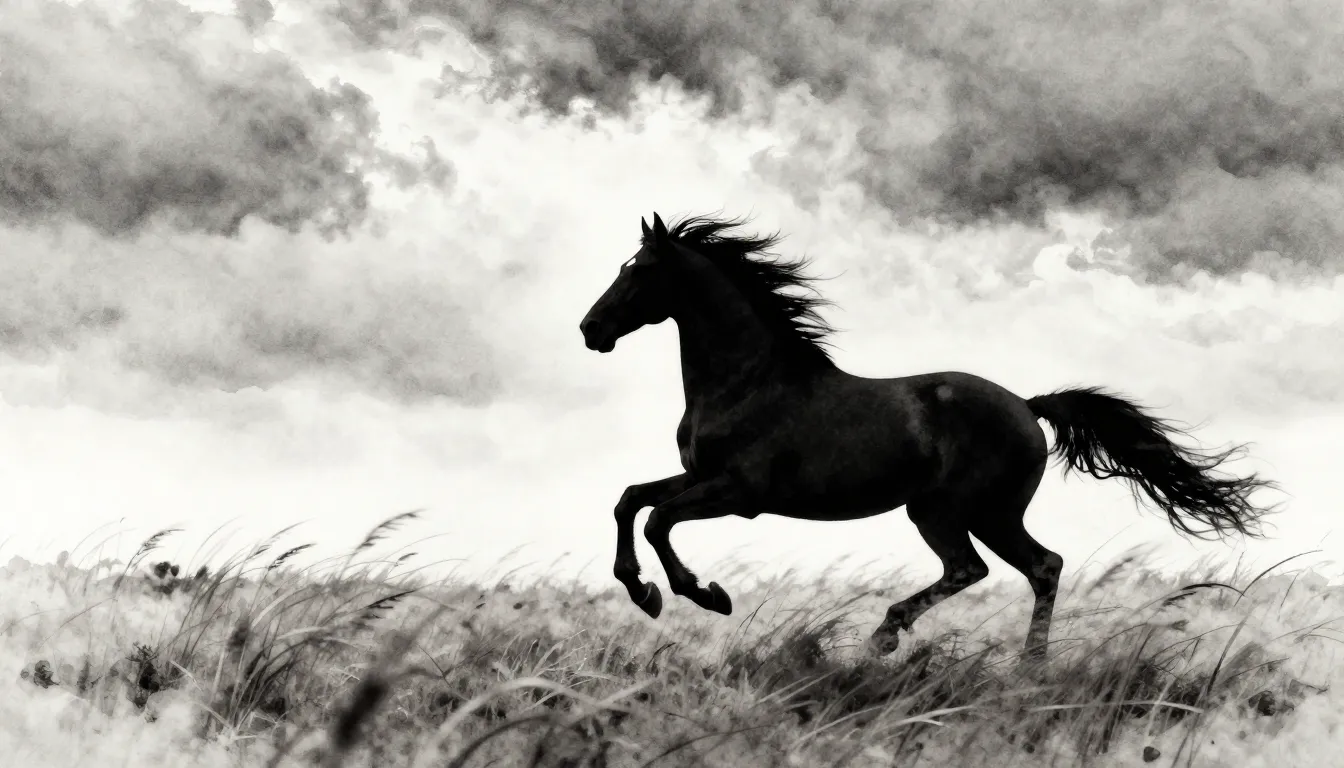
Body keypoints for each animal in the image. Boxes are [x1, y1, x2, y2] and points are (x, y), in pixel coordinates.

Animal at [579, 212, 1276, 660]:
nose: (591, 330)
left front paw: (701, 595)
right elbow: (629, 500)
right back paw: (1024, 665)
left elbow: (658, 520)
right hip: (980, 513)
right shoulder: (700, 477)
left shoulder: (736, 492)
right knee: (1037, 567)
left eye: (639, 270)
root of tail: (1027, 407)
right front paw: (643, 591)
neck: (748, 381)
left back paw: (893, 635)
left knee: (981, 567)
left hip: (950, 509)